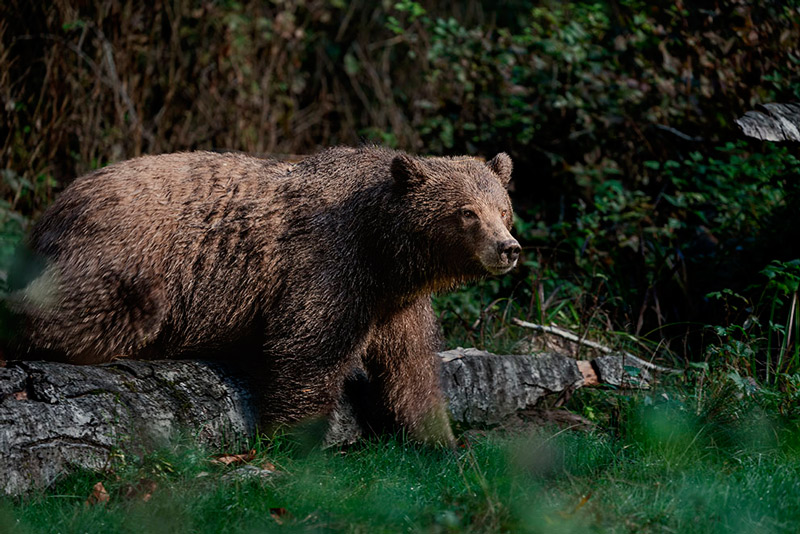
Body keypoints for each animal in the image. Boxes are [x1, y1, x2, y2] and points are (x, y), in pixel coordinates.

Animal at [6, 146, 520, 447]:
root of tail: (56, 205)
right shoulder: (329, 265)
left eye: (503, 209)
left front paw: (443, 444)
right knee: (102, 309)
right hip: (128, 254)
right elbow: (308, 351)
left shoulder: (394, 301)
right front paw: (293, 443)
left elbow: (411, 371)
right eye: (467, 212)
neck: (385, 250)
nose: (508, 248)